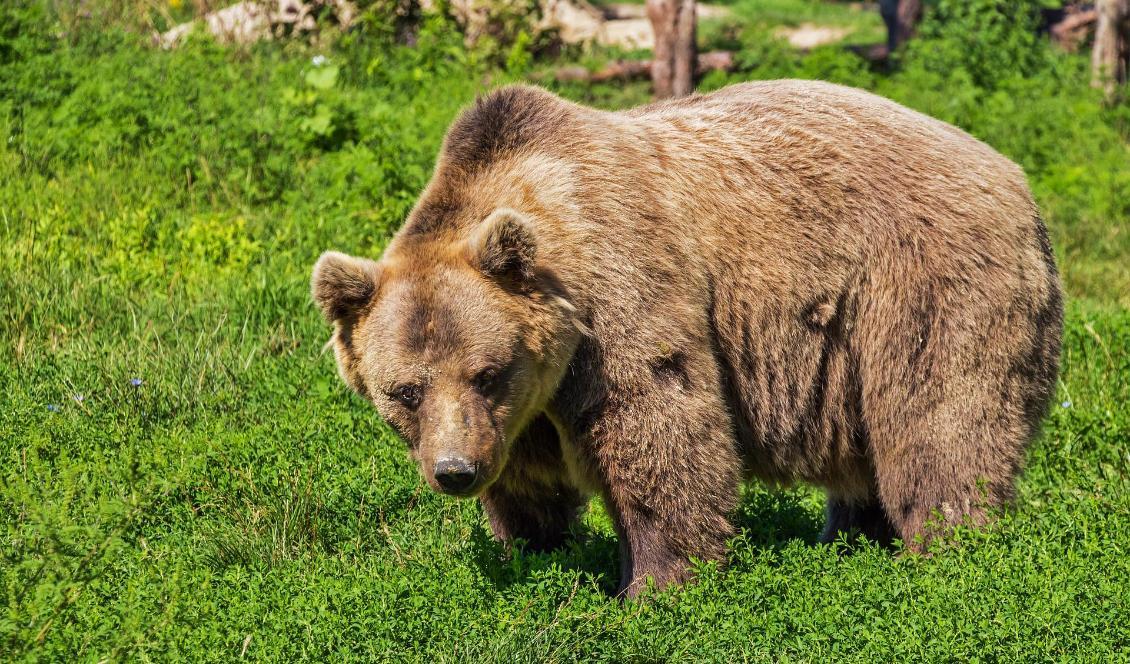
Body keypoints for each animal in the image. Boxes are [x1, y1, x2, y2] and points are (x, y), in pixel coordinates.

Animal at [309, 79, 1057, 596]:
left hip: (921, 282)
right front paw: (535, 551)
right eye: (405, 391)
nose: (455, 471)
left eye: (487, 372)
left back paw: (951, 548)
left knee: (939, 419)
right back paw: (850, 539)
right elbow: (528, 482)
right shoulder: (522, 412)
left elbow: (659, 428)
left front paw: (652, 584)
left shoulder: (619, 297)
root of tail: (1015, 176)